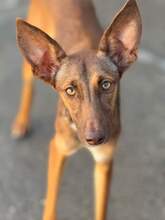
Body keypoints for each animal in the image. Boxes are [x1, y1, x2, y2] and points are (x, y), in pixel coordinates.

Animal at [12, 0, 142, 220]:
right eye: (70, 90)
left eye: (106, 84)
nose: (95, 139)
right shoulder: (57, 149)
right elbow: (51, 204)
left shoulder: (104, 161)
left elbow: (101, 210)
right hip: (29, 64)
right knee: (28, 86)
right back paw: (21, 122)